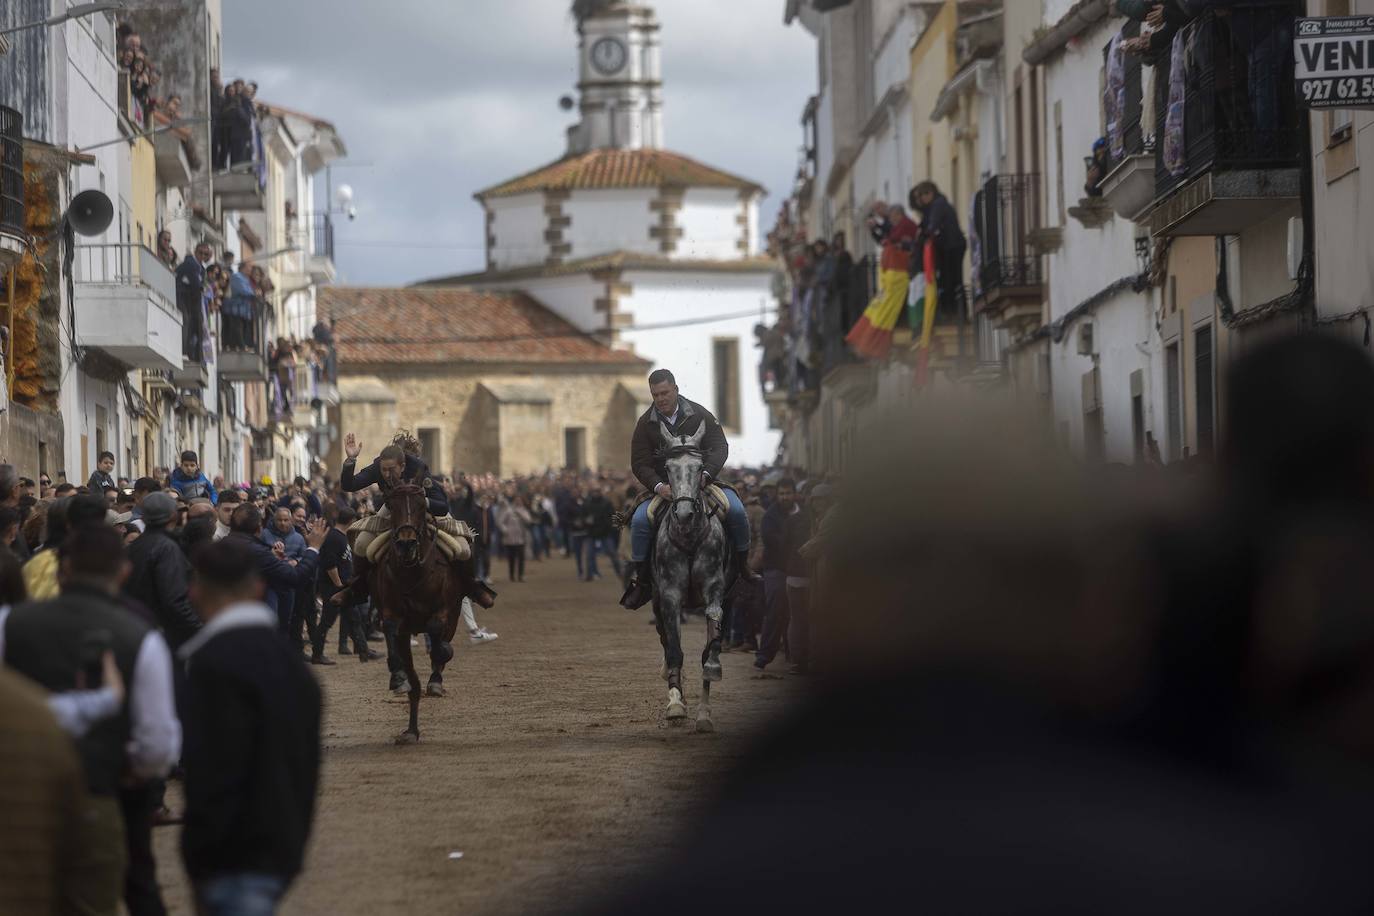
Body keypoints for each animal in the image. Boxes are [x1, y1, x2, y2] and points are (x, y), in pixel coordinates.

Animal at [373, 486, 464, 747]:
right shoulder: (394, 617)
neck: (412, 572)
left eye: (422, 505)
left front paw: (441, 658)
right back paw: (411, 730)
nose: (406, 543)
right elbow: (390, 629)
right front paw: (397, 679)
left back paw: (435, 679)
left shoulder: (444, 611)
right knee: (414, 683)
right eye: (391, 505)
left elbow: (436, 633)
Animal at [651, 420, 730, 730]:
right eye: (668, 467)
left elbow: (711, 642)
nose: (684, 514)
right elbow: (675, 649)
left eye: (699, 467)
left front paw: (704, 713)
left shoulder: (715, 587)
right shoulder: (670, 596)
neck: (689, 536)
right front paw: (675, 704)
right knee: (666, 641)